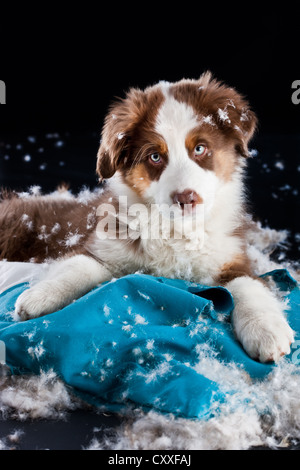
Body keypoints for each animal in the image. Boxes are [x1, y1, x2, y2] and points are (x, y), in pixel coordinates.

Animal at [0, 71, 294, 364]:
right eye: (155, 156)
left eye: (200, 149)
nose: (186, 198)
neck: (176, 229)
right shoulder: (103, 248)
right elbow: (77, 267)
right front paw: (38, 296)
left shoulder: (233, 258)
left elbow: (248, 285)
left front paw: (267, 331)